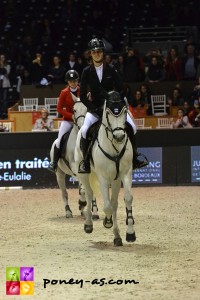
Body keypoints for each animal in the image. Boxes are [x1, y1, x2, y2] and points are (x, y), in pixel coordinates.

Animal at [74, 91, 136, 246]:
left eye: (125, 111)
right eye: (107, 112)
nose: (119, 137)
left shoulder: (125, 174)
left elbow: (126, 199)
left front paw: (129, 233)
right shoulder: (102, 177)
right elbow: (107, 206)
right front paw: (107, 222)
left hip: (115, 179)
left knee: (114, 202)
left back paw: (117, 236)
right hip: (84, 174)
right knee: (89, 194)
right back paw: (88, 224)